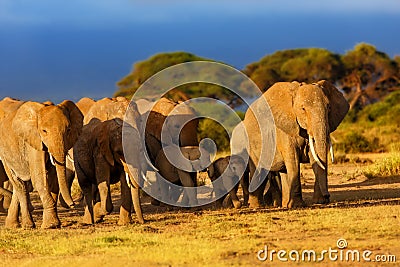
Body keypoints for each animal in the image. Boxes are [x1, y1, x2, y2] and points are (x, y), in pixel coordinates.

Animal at [0, 99, 83, 229]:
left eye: (69, 130)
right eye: (44, 131)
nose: (73, 204)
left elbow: (54, 180)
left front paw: (53, 224)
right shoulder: (33, 141)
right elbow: (39, 179)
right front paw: (51, 225)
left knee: (24, 185)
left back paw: (13, 225)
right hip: (5, 156)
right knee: (20, 185)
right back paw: (28, 225)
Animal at [242, 80, 348, 209]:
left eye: (328, 107)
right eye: (303, 109)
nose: (327, 196)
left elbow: (315, 158)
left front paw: (319, 201)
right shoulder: (284, 130)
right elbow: (293, 159)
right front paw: (298, 205)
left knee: (283, 171)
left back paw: (285, 205)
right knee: (258, 170)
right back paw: (257, 206)